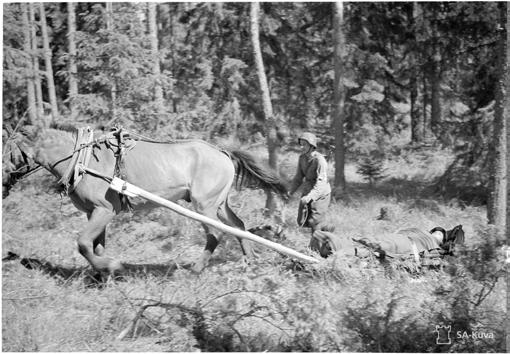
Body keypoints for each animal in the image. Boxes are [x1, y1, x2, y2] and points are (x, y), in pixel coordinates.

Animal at [14, 124, 286, 274]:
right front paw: (102, 274)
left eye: (11, 148)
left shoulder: (105, 210)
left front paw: (111, 267)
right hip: (218, 204)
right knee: (238, 226)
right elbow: (95, 245)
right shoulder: (95, 212)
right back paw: (249, 262)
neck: (84, 160)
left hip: (204, 205)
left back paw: (195, 270)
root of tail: (222, 152)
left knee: (216, 233)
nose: (9, 177)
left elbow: (82, 243)